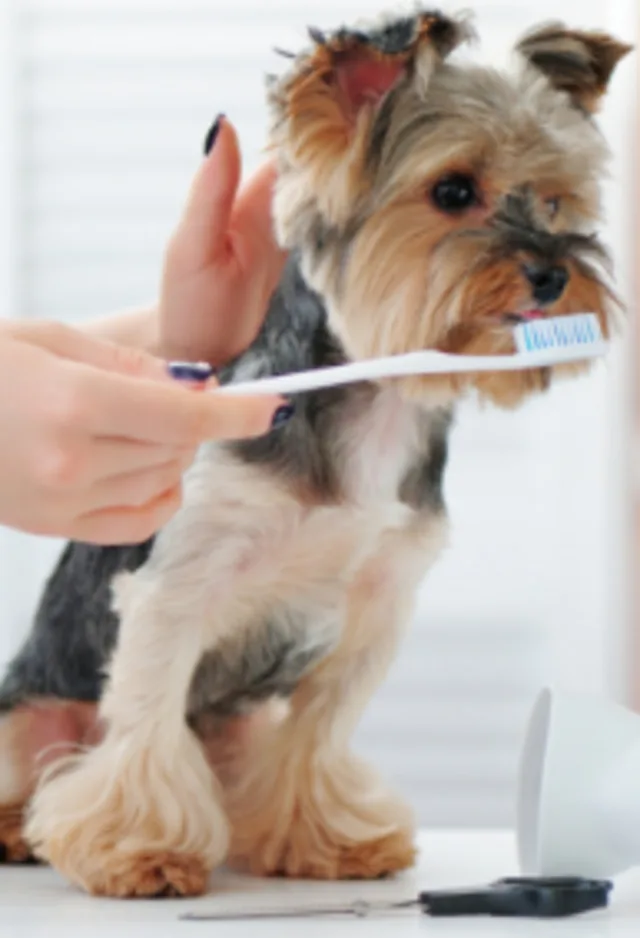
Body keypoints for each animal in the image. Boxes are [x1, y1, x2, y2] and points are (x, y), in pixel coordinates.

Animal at [0, 9, 632, 900]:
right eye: (452, 191)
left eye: (554, 198)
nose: (550, 275)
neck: (382, 403)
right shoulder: (179, 585)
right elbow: (147, 716)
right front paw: (141, 849)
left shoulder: (379, 601)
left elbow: (323, 725)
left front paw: (327, 838)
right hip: (32, 712)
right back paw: (18, 826)